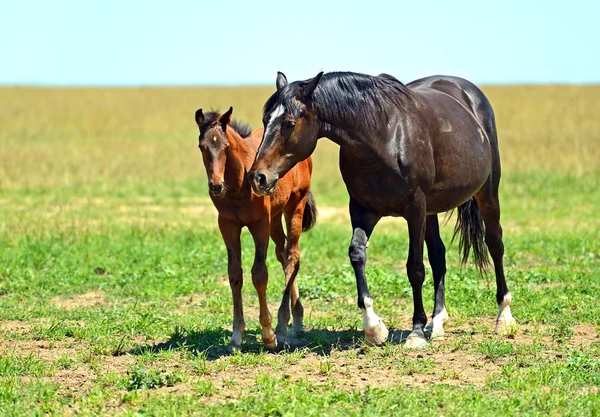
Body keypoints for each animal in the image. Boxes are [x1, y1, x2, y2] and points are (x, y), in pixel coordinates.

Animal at [195, 106, 316, 352]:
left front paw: (268, 335)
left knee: (293, 256)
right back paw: (295, 317)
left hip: (294, 206)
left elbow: (259, 274)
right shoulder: (228, 225)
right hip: (275, 217)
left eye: (226, 146)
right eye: (202, 146)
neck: (238, 185)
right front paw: (235, 337)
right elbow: (235, 274)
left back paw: (290, 323)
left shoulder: (259, 224)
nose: (216, 186)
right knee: (282, 253)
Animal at [247, 70, 516, 348]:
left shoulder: (415, 209)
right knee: (439, 255)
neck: (382, 137)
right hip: (431, 211)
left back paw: (504, 317)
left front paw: (416, 332)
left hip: (487, 192)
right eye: (266, 119)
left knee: (495, 244)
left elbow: (415, 267)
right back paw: (438, 322)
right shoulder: (362, 210)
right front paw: (373, 327)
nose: (258, 177)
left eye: (289, 122)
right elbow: (357, 254)